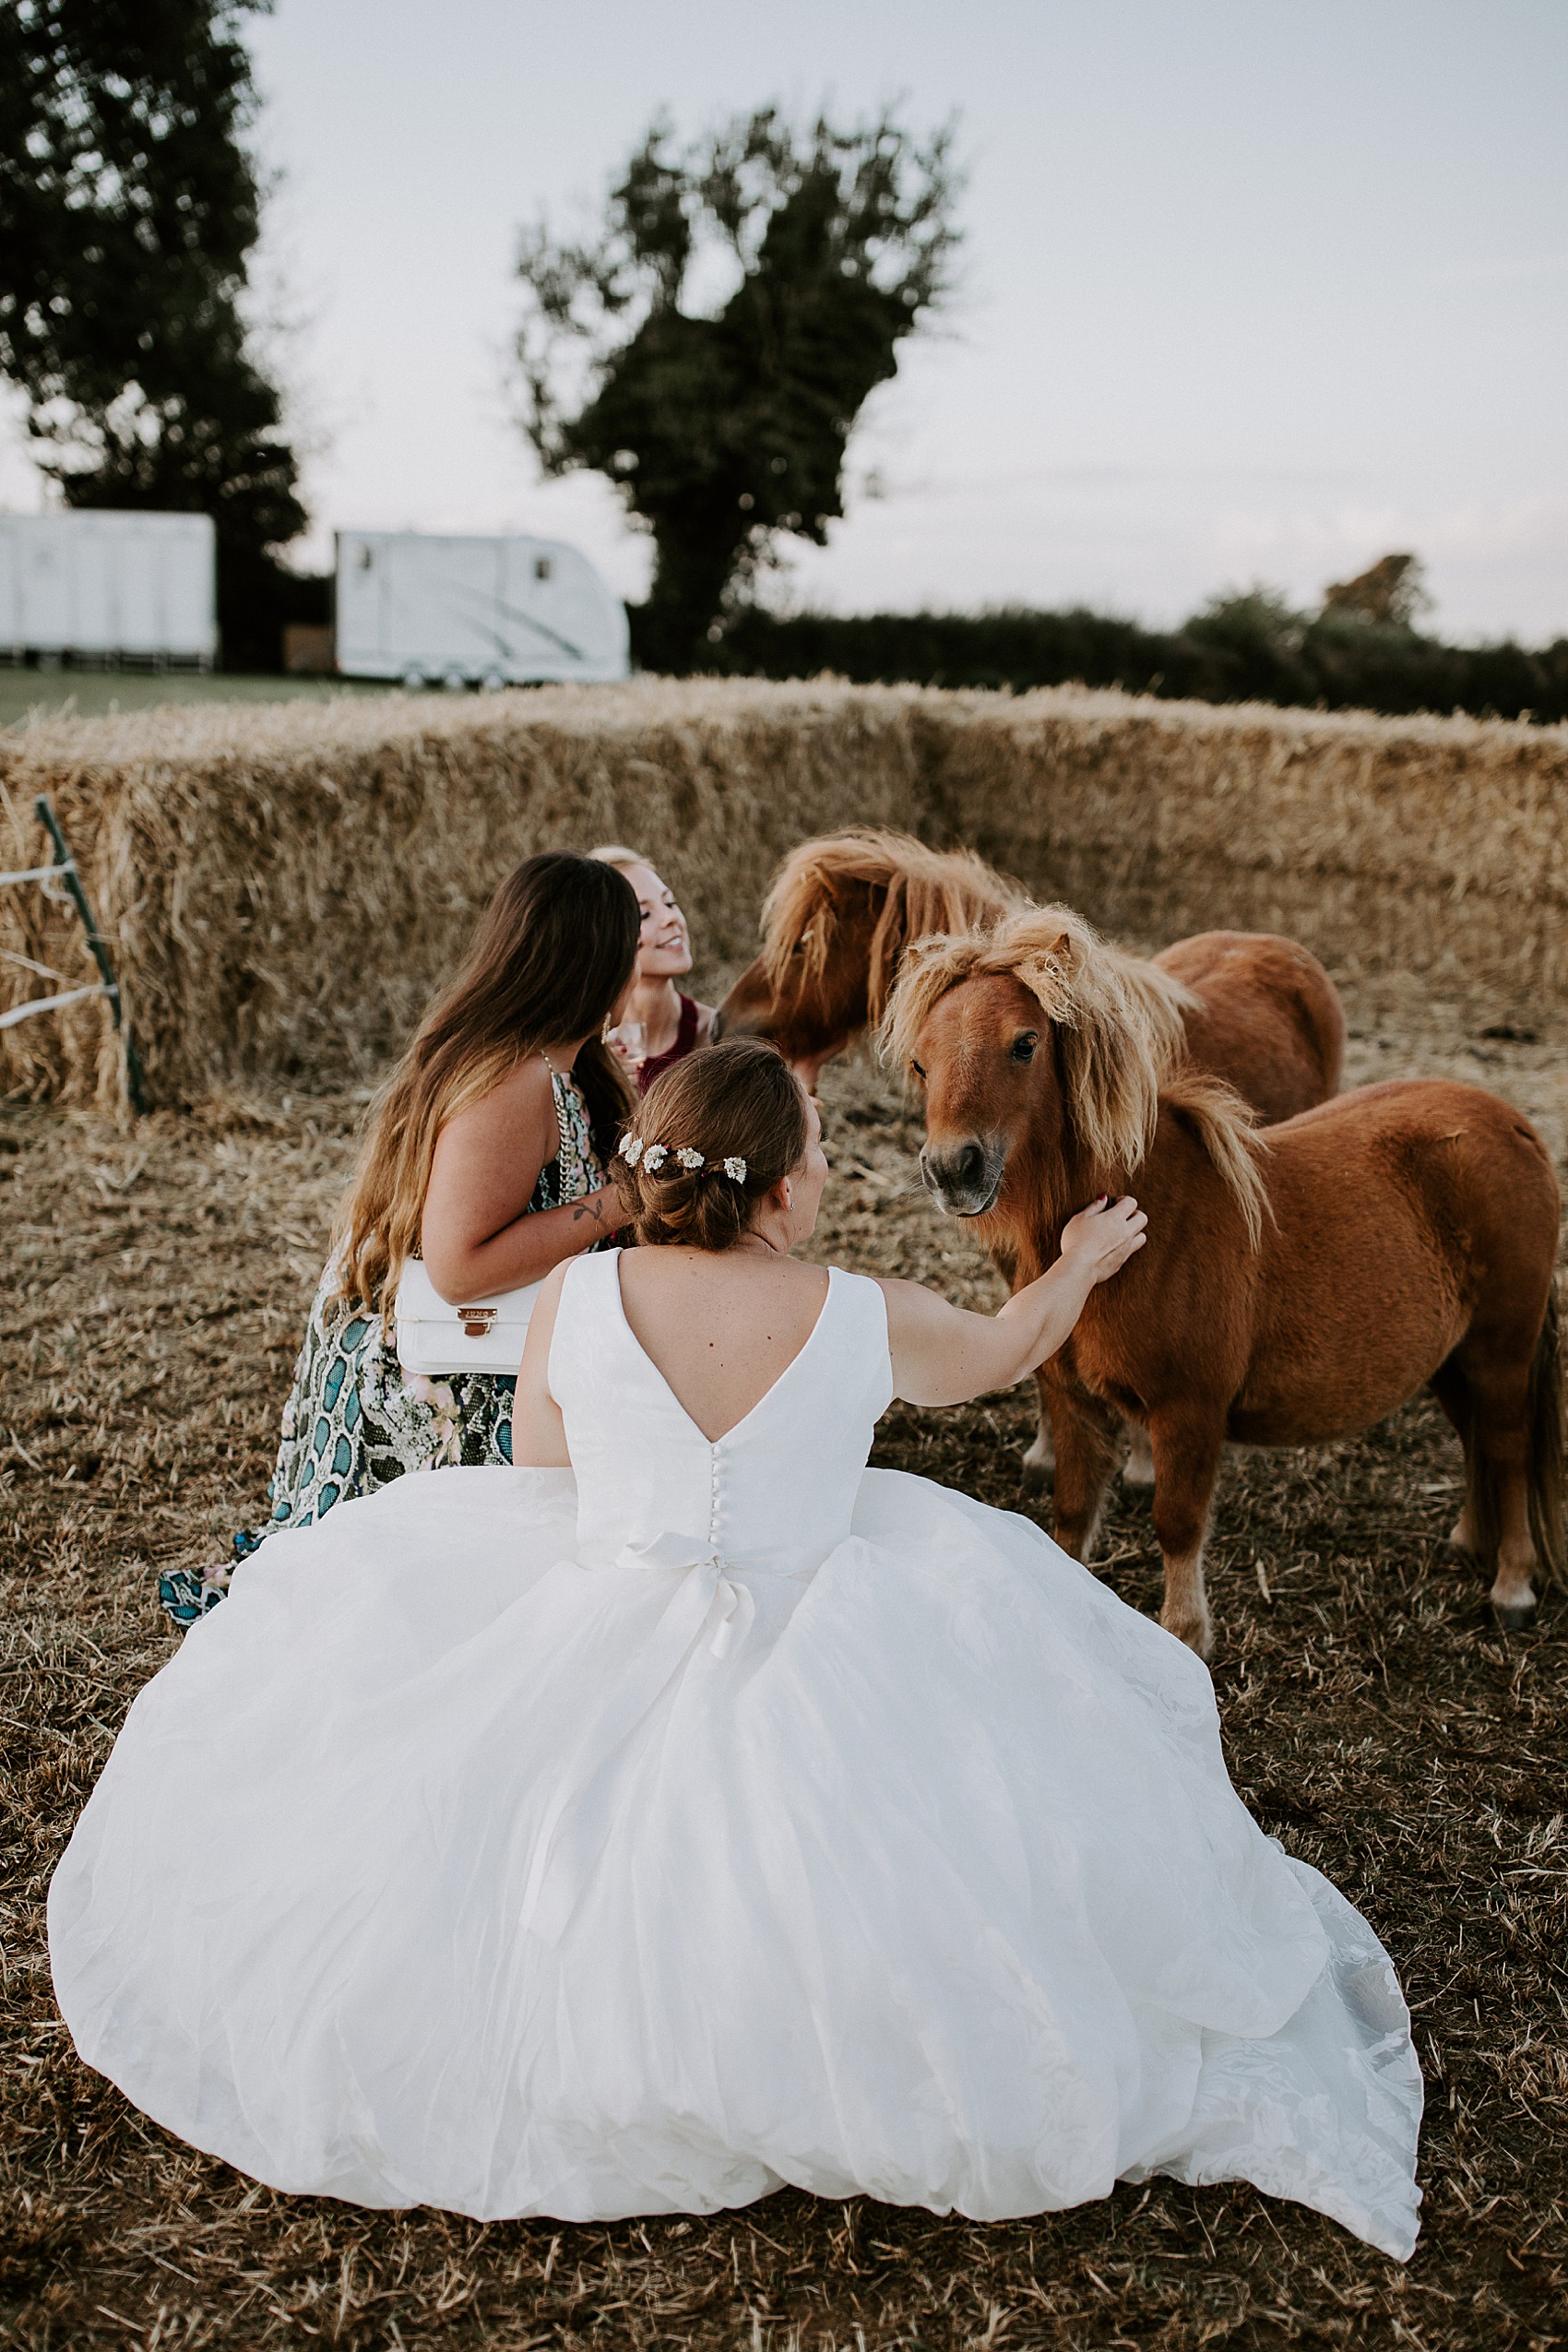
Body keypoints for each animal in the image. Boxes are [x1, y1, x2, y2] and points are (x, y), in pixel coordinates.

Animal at [888, 898, 1561, 1656]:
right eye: (920, 1062)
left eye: (1024, 1044)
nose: (952, 1170)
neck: (1136, 1229)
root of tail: (1514, 1126)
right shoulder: (1075, 1404)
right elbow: (1070, 1518)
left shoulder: (1189, 1412)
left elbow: (1177, 1526)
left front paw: (1187, 1639)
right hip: (1453, 1356)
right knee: (1477, 1439)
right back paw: (1469, 1543)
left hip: (1504, 1350)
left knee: (1507, 1446)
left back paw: (1511, 1587)